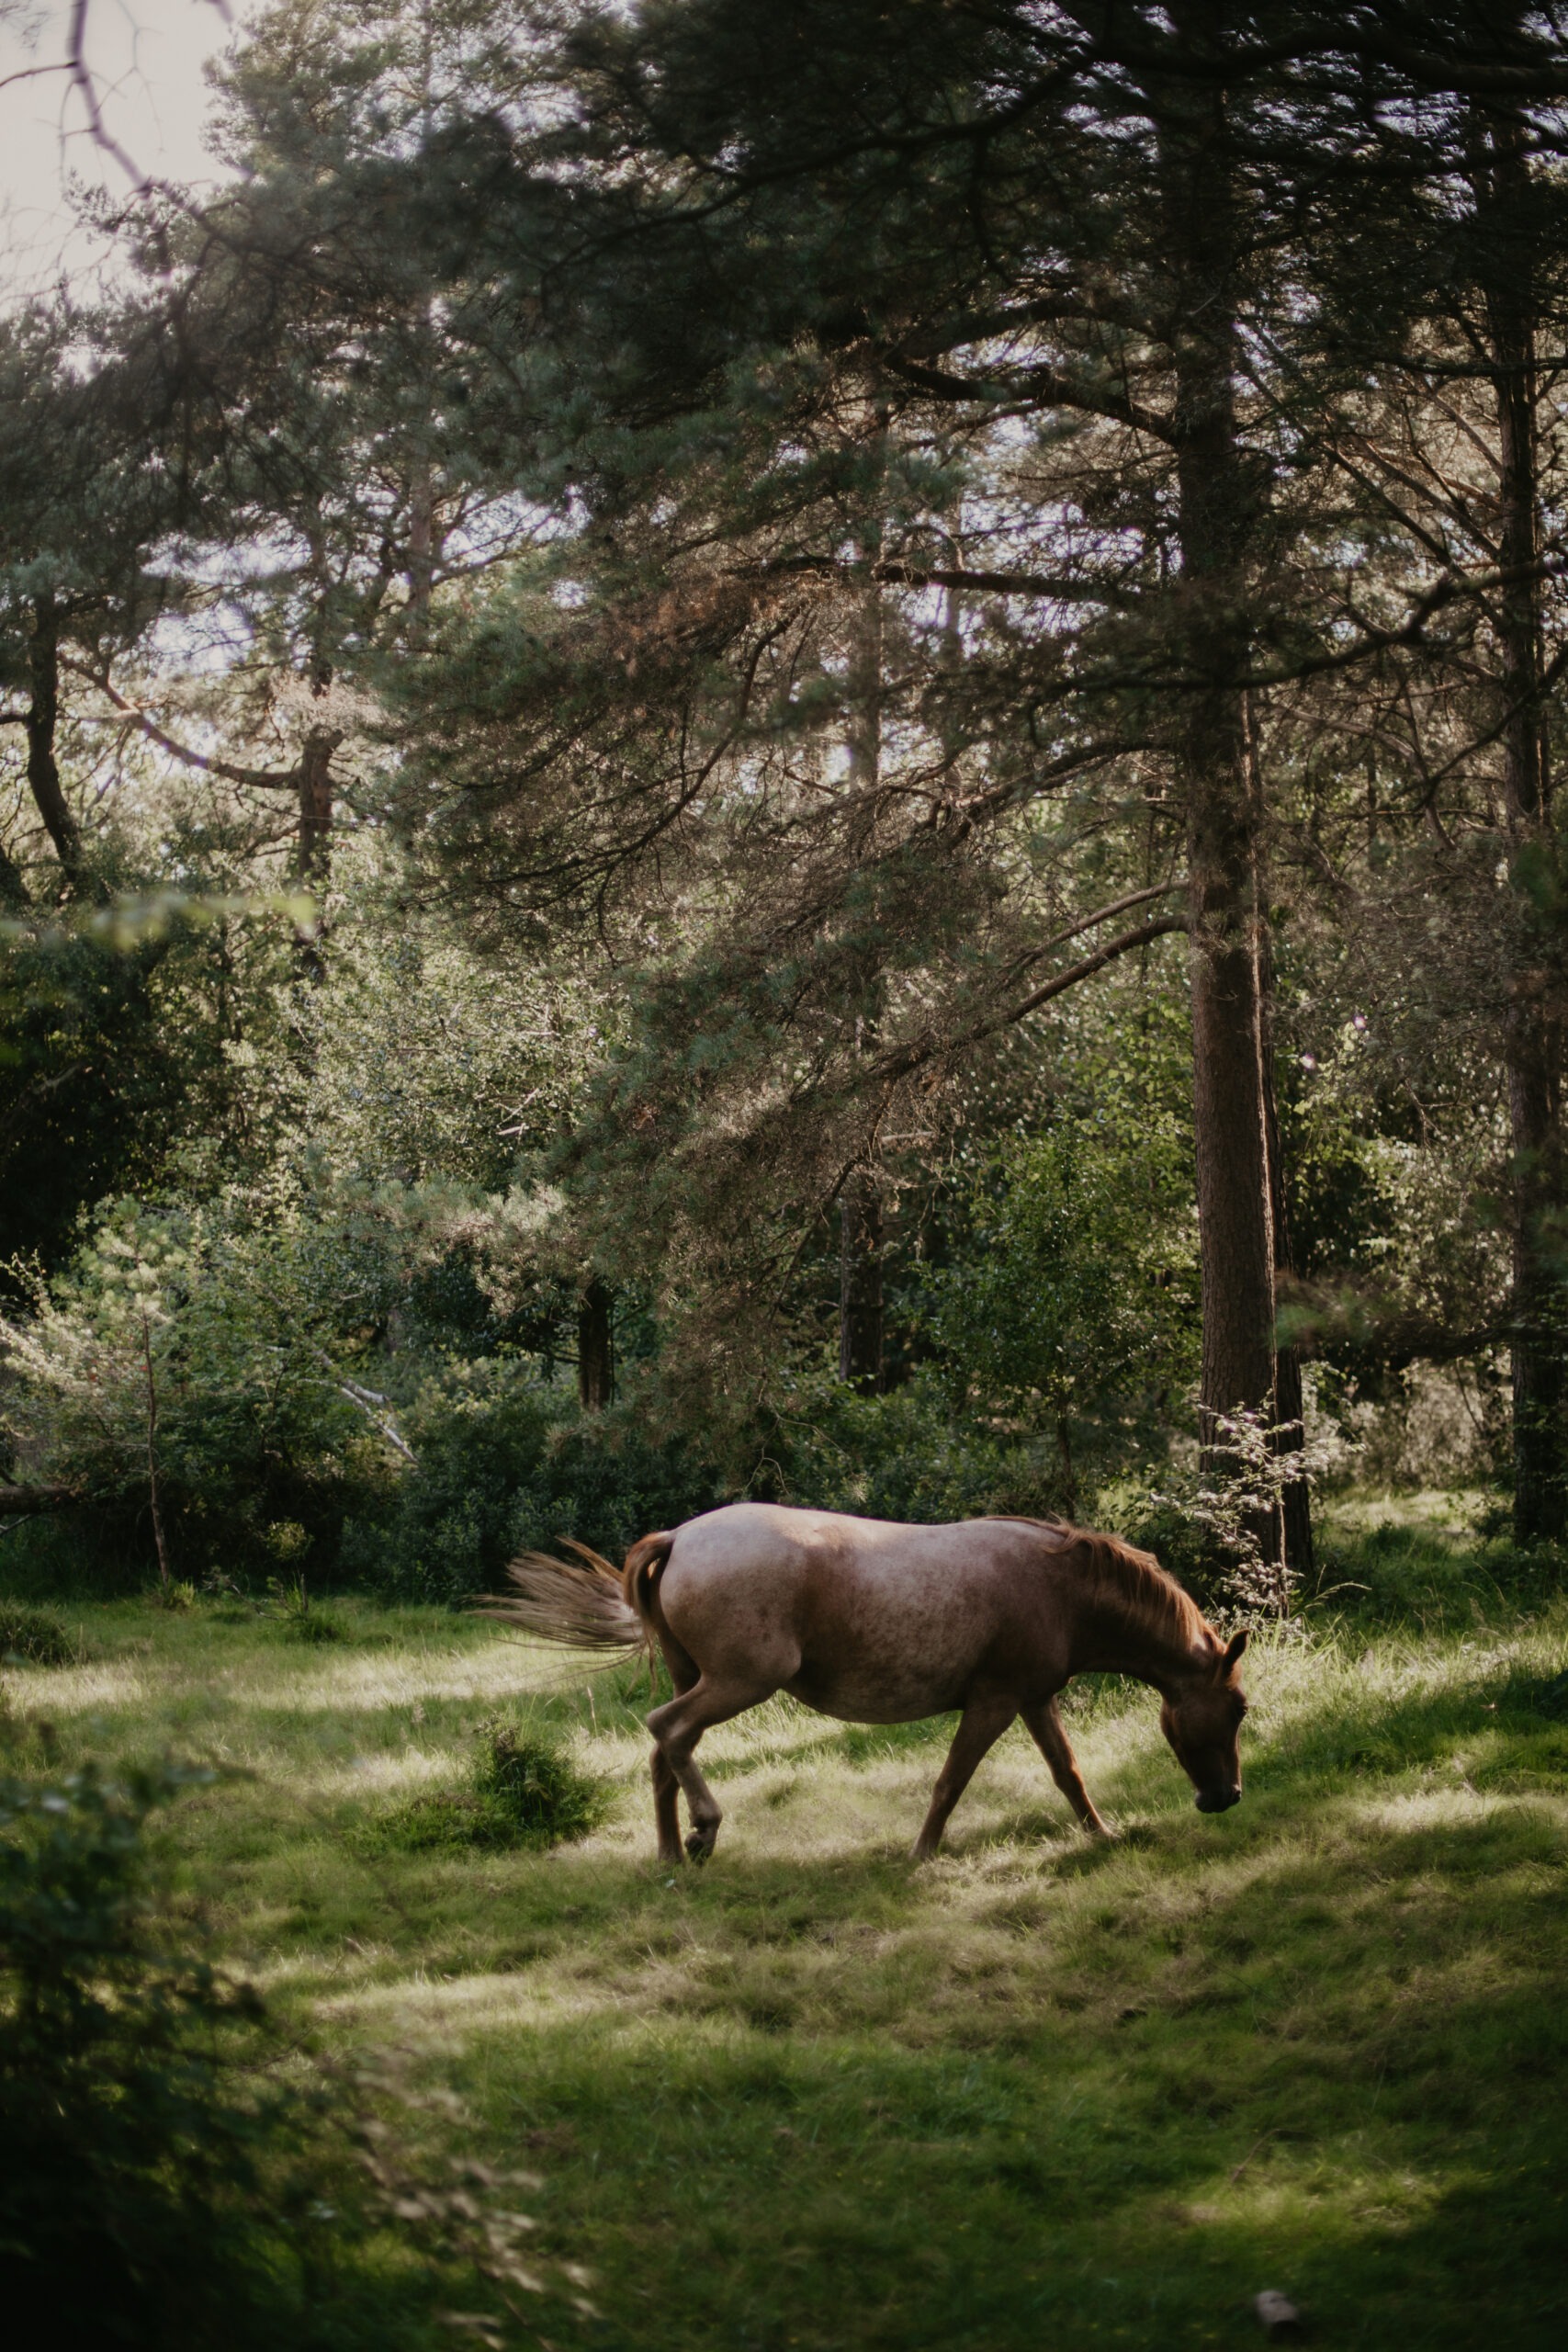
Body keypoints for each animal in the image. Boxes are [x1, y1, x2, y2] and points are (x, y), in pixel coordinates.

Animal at [486, 1502, 1249, 1862]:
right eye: (1238, 1709)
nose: (1226, 1797)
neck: (1058, 1587)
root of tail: (678, 1538)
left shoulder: (1033, 1699)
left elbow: (1068, 1772)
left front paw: (1101, 1834)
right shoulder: (995, 1701)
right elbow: (950, 1781)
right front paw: (922, 1853)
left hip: (696, 1679)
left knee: (662, 1754)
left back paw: (673, 1853)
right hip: (737, 1683)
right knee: (666, 1733)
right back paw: (704, 1828)